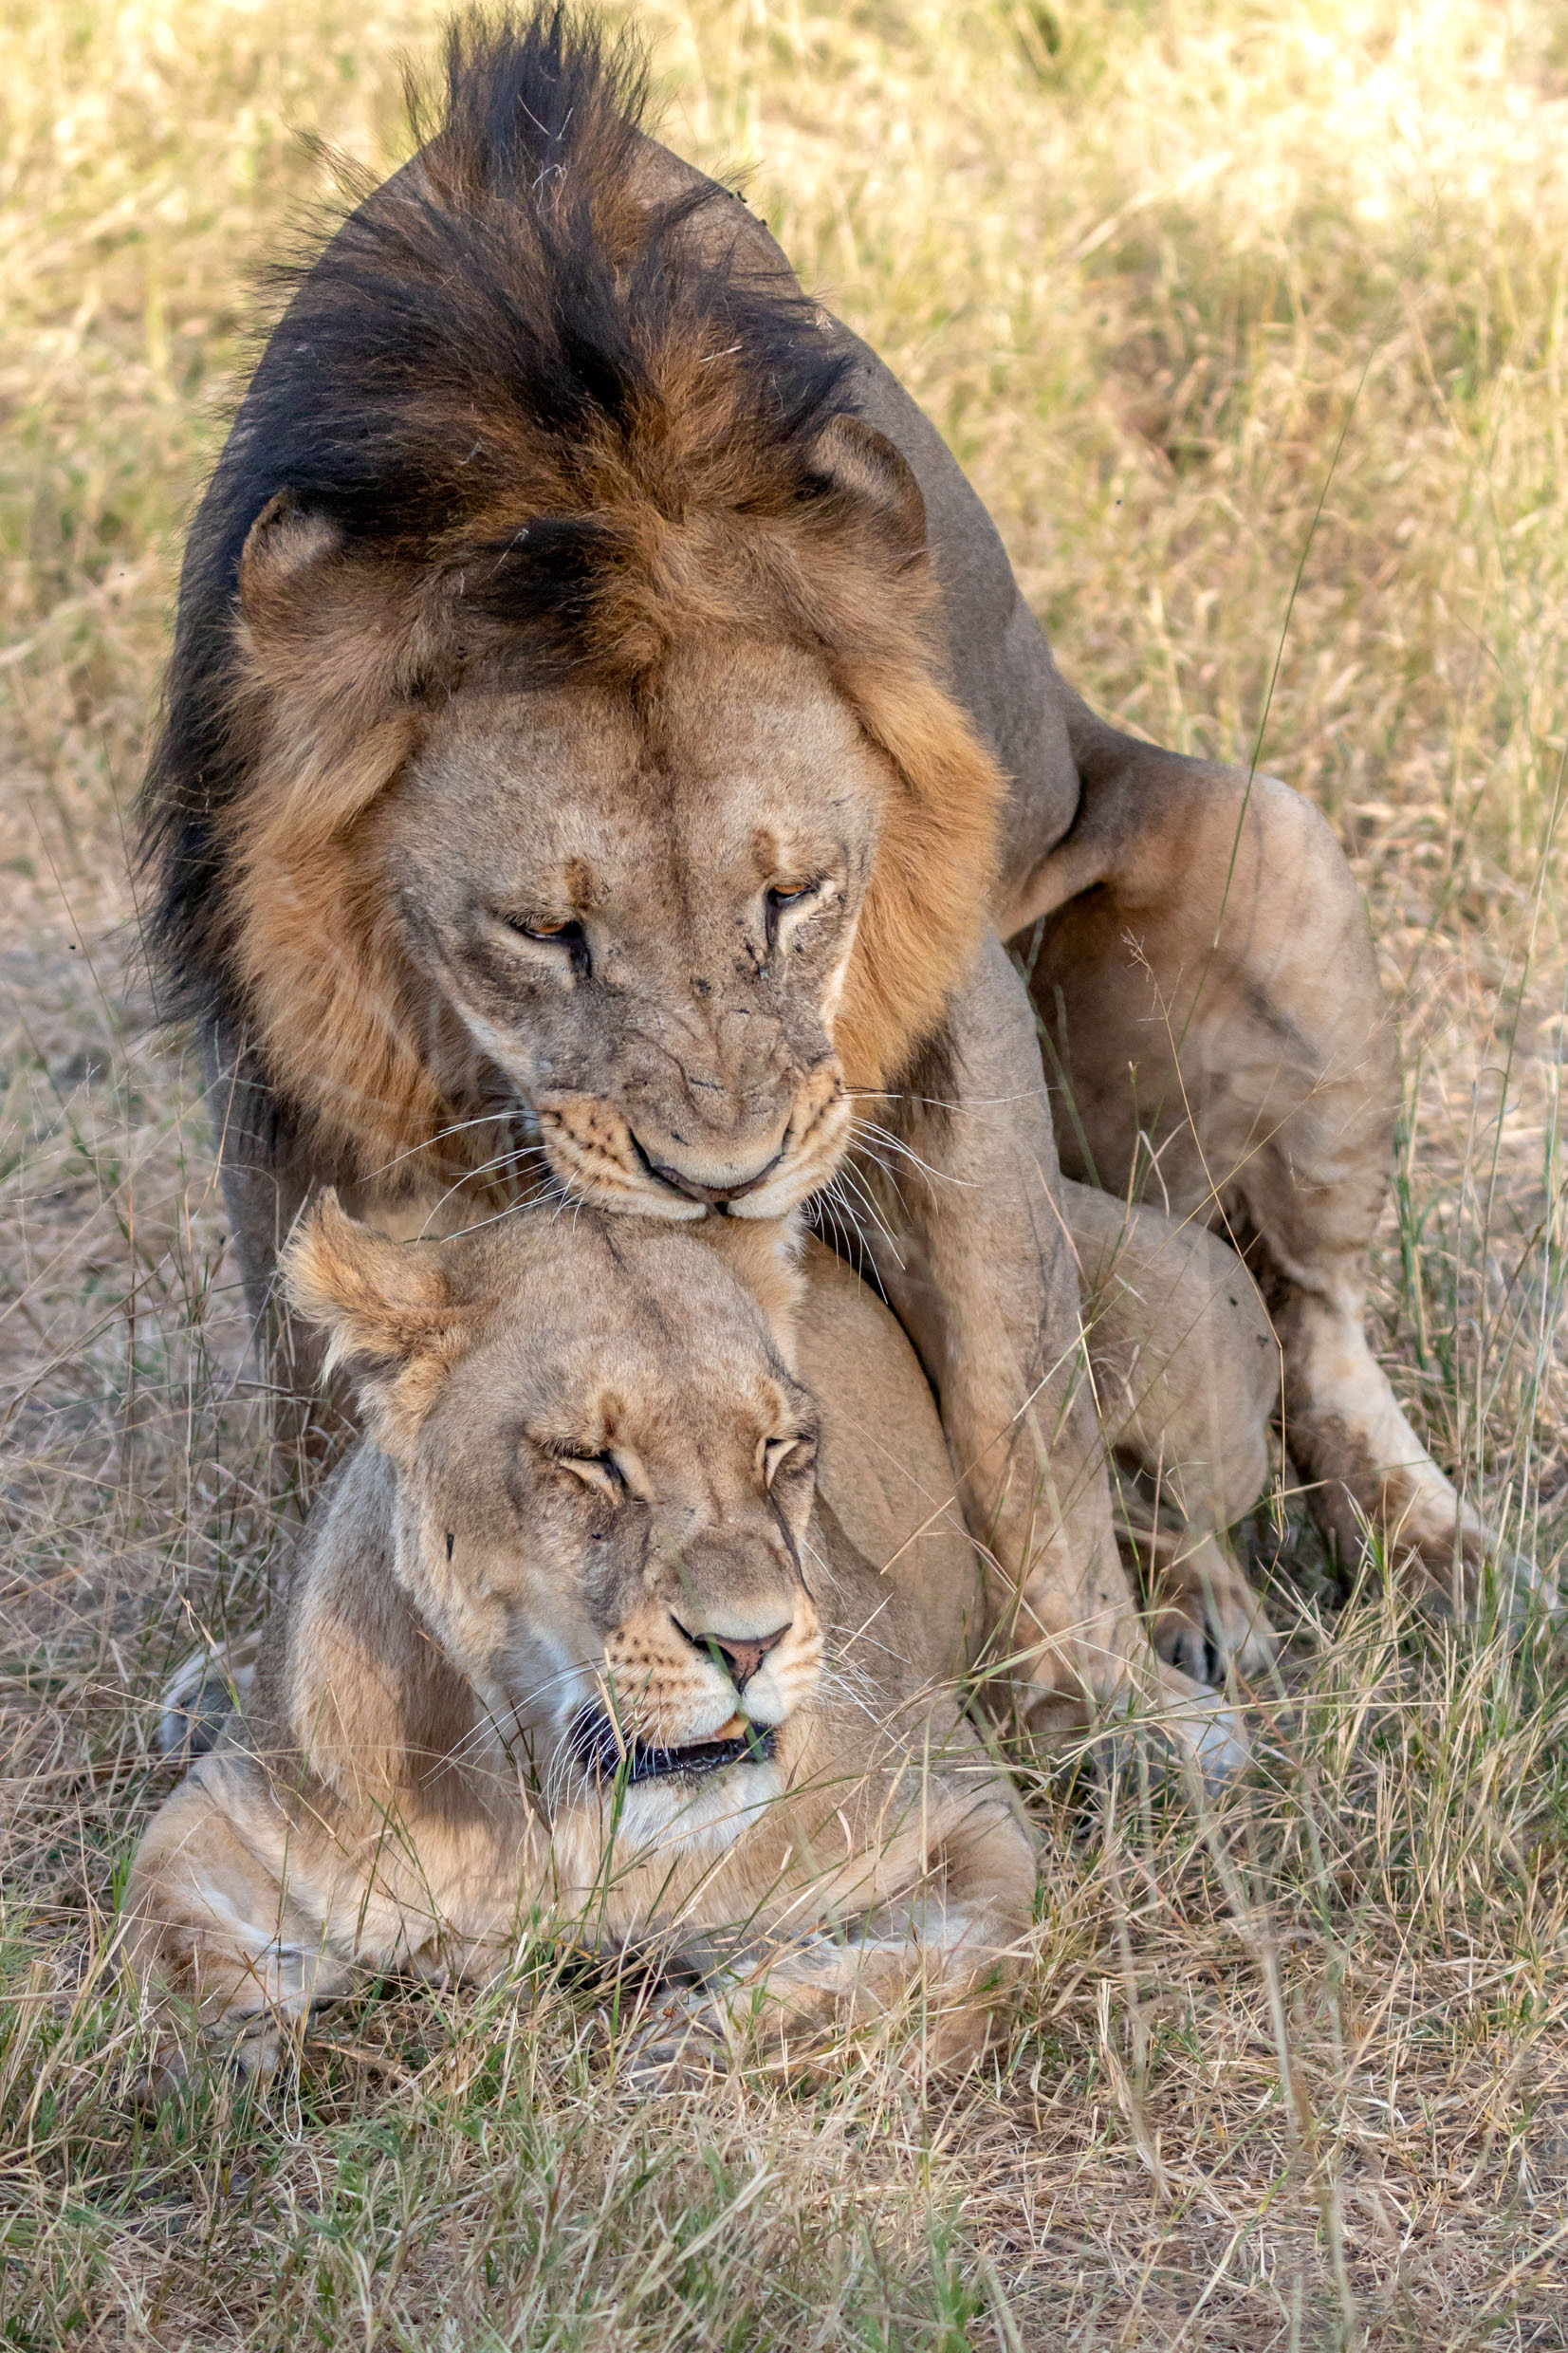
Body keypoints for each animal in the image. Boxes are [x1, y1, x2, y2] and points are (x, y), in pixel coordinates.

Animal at [137, 10, 1533, 1784]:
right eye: (544, 932)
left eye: (794, 895)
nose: (722, 1182)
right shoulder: (275, 1049)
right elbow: (316, 1389)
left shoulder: (942, 1010)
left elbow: (1020, 1396)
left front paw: (1110, 1708)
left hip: (1270, 838)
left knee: (1316, 1329)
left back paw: (1431, 1572)